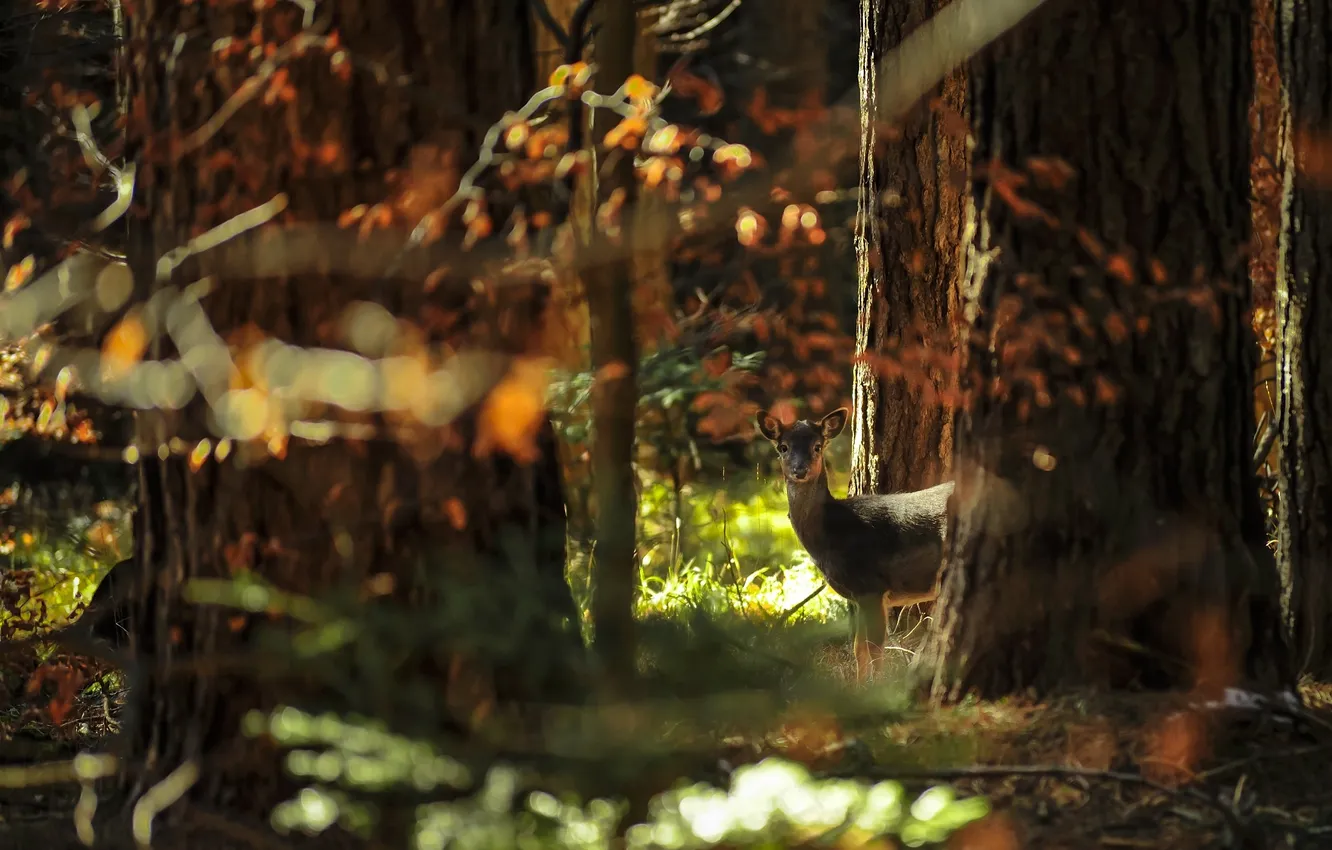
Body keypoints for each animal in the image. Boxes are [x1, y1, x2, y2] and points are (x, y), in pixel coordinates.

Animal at [756, 407, 953, 681]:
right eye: (783, 447)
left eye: (817, 446)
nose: (800, 470)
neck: (832, 534)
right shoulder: (859, 596)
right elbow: (859, 648)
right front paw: (859, 686)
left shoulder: (872, 586)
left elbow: (875, 649)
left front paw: (878, 686)